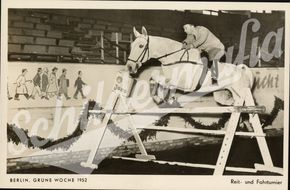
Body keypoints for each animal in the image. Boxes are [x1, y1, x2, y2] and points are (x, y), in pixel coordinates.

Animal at [125, 26, 253, 107]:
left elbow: (163, 81)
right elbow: (154, 77)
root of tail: (242, 70)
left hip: (240, 91)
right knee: (231, 102)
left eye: (141, 46)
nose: (130, 67)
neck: (174, 58)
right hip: (224, 92)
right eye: (132, 45)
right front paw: (163, 99)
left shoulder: (183, 82)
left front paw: (163, 98)